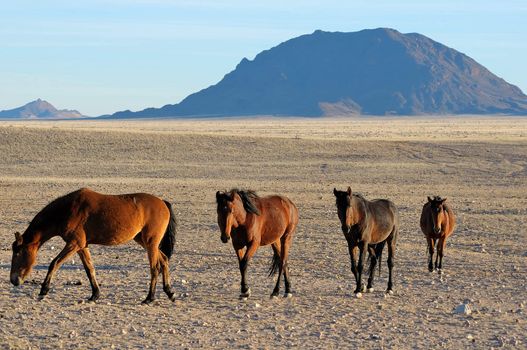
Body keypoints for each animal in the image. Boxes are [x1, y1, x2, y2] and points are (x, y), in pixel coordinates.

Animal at [9, 187, 177, 304]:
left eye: (18, 253)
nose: (14, 280)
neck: (67, 210)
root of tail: (163, 202)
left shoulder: (74, 244)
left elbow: (54, 263)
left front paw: (44, 289)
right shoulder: (82, 246)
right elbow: (89, 269)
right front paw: (95, 295)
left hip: (150, 243)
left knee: (154, 268)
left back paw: (149, 298)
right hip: (144, 241)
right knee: (163, 260)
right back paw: (169, 292)